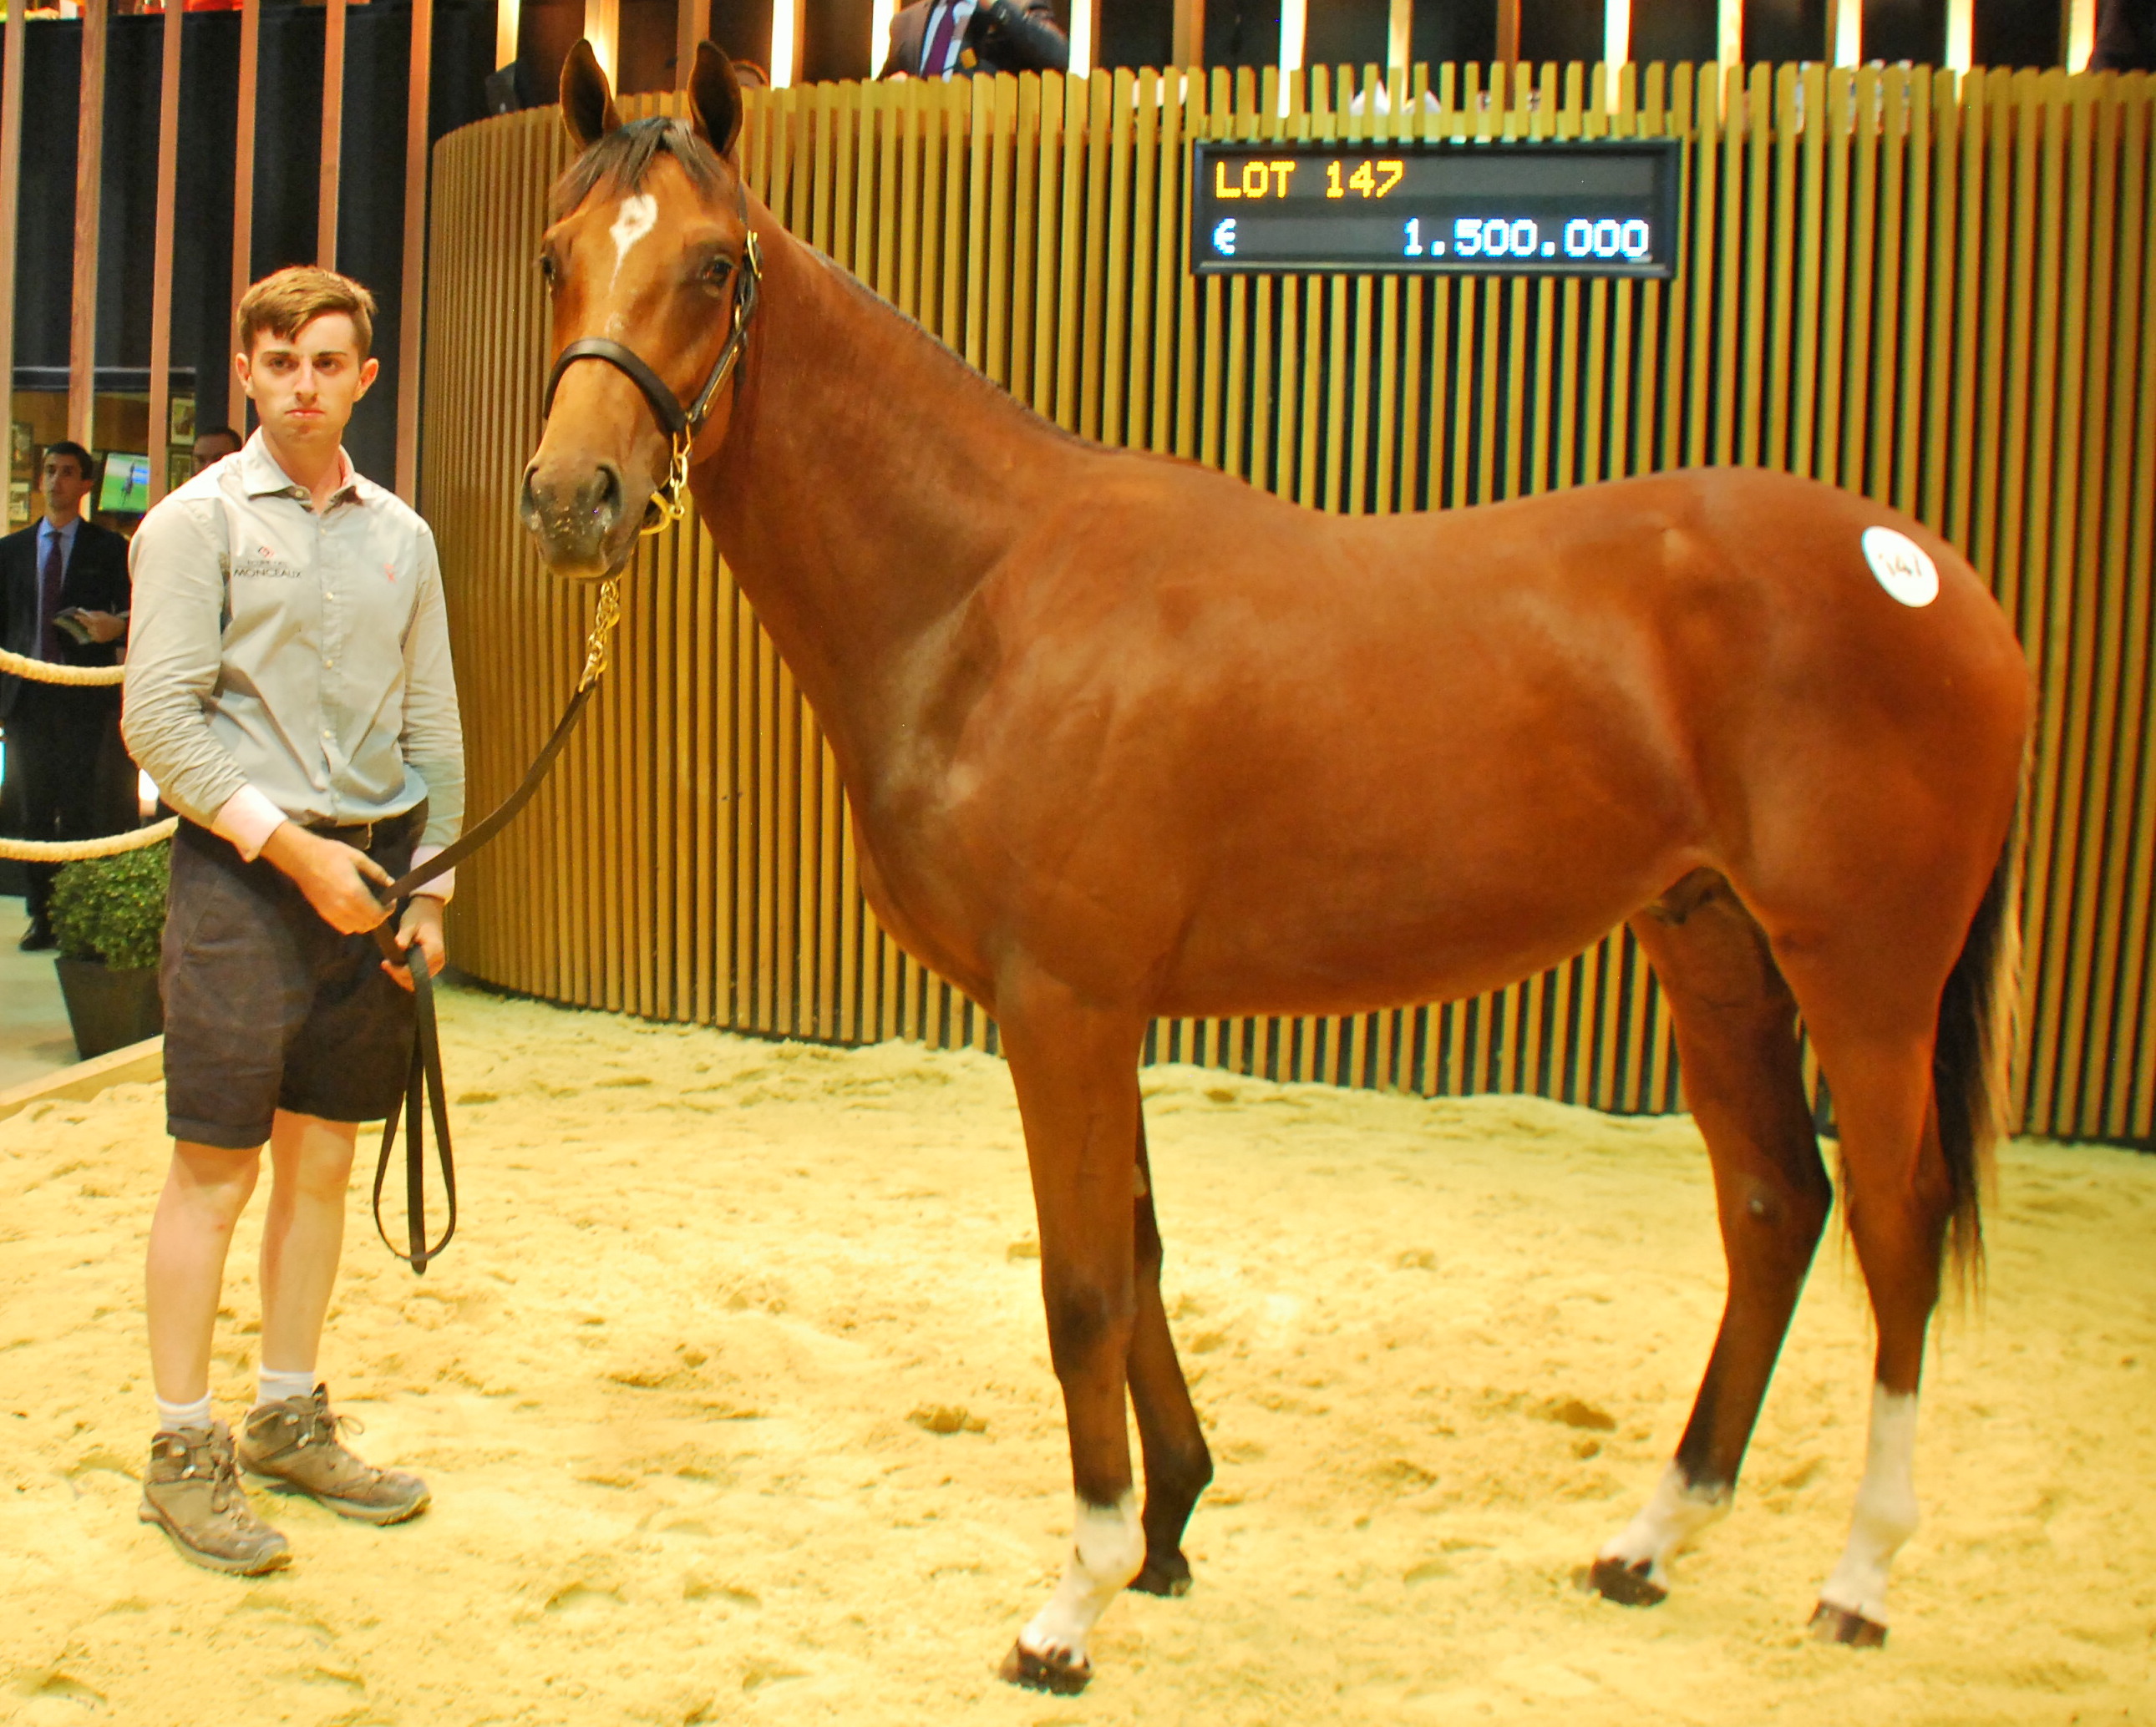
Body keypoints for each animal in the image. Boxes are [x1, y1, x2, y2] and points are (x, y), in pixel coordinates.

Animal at [521, 47, 2035, 1690]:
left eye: (711, 264)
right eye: (555, 256)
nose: (574, 496)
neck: (987, 591)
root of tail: (1938, 577)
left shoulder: (1064, 1008)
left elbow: (1081, 1286)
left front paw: (1073, 1601)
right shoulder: (1093, 1012)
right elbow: (1137, 1250)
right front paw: (1170, 1524)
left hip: (1866, 979)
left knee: (1894, 1227)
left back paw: (1860, 1573)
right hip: (1712, 944)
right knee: (1772, 1207)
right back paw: (1650, 1538)